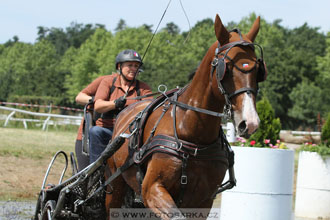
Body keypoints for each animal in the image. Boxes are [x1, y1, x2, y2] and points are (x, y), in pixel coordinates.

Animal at [105, 14, 266, 219]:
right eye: (226, 68)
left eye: (258, 69)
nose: (250, 122)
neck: (193, 133)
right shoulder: (152, 189)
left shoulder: (204, 200)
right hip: (114, 186)